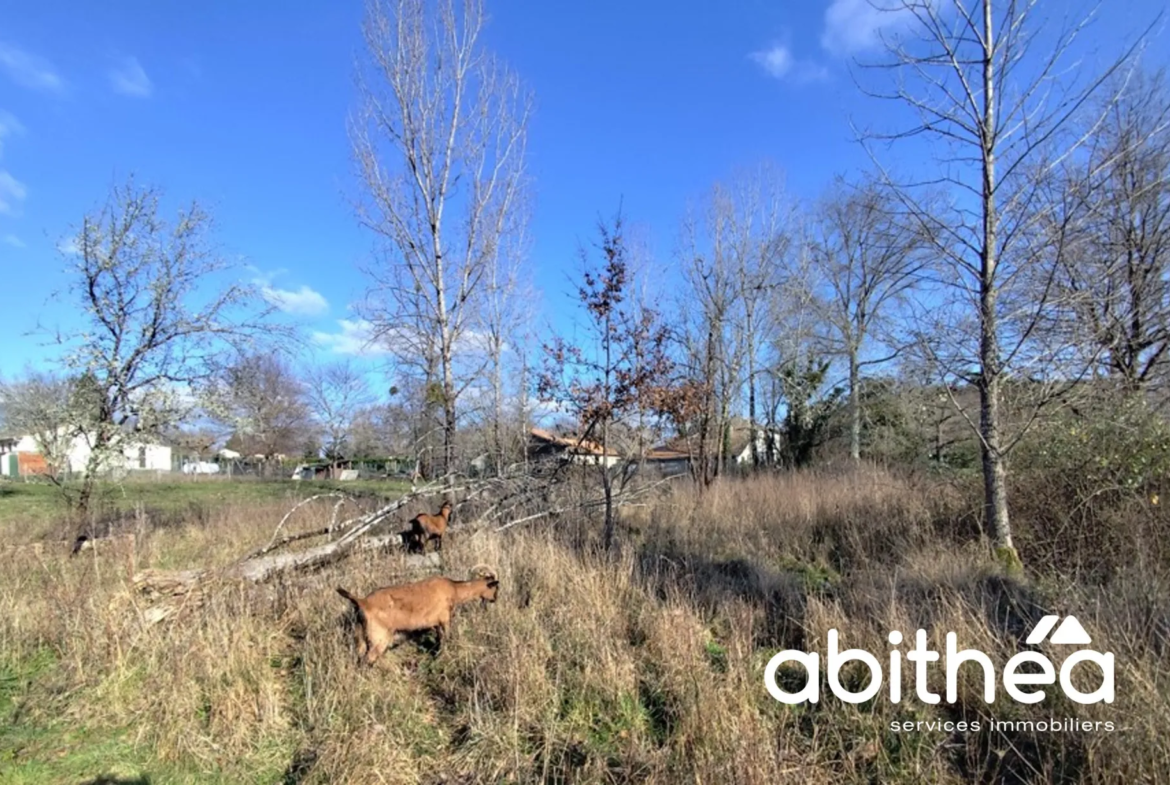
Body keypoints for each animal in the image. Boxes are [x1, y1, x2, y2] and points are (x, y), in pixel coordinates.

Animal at [334, 566, 498, 664]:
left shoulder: (436, 624)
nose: (494, 600)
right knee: (367, 660)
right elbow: (446, 639)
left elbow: (439, 640)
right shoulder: (445, 620)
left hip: (360, 636)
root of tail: (362, 602)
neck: (454, 590)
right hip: (379, 638)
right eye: (495, 587)